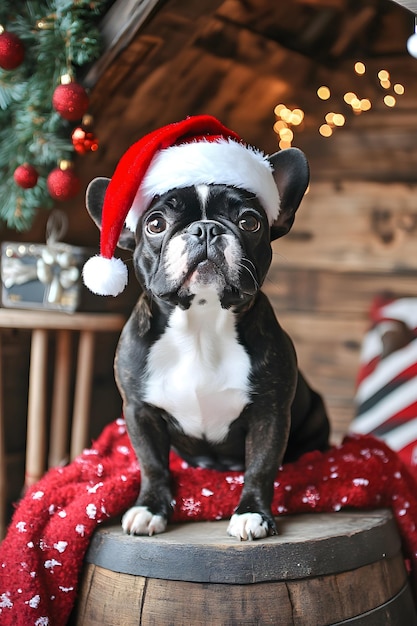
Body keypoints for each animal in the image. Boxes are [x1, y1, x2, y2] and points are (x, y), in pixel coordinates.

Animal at [83, 114, 330, 540]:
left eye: (249, 221)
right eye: (155, 223)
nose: (206, 229)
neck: (200, 323)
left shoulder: (269, 413)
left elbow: (262, 466)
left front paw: (252, 513)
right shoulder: (140, 412)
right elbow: (152, 464)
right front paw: (150, 508)